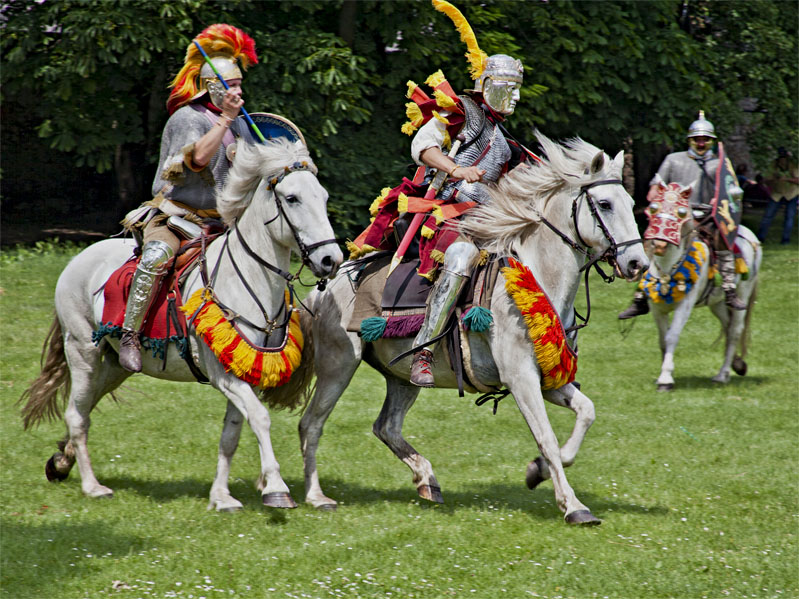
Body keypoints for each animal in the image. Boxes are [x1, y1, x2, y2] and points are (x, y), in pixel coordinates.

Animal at [19, 139, 344, 510]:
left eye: (323, 197)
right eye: (292, 198)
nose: (331, 259)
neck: (249, 280)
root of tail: (79, 259)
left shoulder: (242, 372)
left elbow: (232, 432)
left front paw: (221, 496)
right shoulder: (223, 374)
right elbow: (260, 417)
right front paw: (275, 487)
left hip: (116, 366)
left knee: (84, 408)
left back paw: (62, 461)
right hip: (82, 350)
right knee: (76, 413)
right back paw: (92, 485)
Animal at [290, 132, 652, 524]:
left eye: (631, 202)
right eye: (604, 203)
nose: (638, 263)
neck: (537, 278)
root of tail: (327, 286)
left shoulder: (549, 380)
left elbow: (585, 414)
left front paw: (537, 471)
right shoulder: (521, 379)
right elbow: (547, 439)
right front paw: (573, 506)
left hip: (401, 378)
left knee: (386, 426)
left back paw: (427, 479)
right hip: (339, 365)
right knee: (311, 424)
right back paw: (316, 496)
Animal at [636, 180, 764, 392]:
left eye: (681, 213)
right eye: (653, 208)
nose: (659, 245)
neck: (667, 270)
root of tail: (752, 237)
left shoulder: (684, 306)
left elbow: (672, 337)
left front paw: (665, 379)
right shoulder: (657, 307)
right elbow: (662, 340)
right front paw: (663, 374)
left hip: (742, 296)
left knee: (735, 330)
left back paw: (722, 374)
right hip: (716, 302)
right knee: (727, 326)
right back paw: (735, 365)